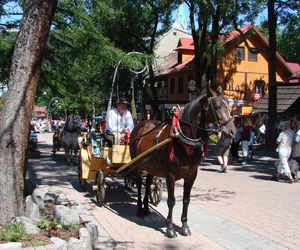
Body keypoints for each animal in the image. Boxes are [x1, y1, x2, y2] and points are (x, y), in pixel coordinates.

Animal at [130, 89, 236, 237]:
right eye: (217, 107)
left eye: (228, 105)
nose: (232, 131)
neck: (184, 142)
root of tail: (140, 125)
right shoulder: (170, 176)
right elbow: (171, 201)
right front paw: (170, 228)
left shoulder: (191, 175)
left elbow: (186, 200)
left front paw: (185, 227)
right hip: (138, 166)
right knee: (140, 185)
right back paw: (140, 209)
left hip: (151, 167)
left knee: (148, 183)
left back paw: (146, 208)